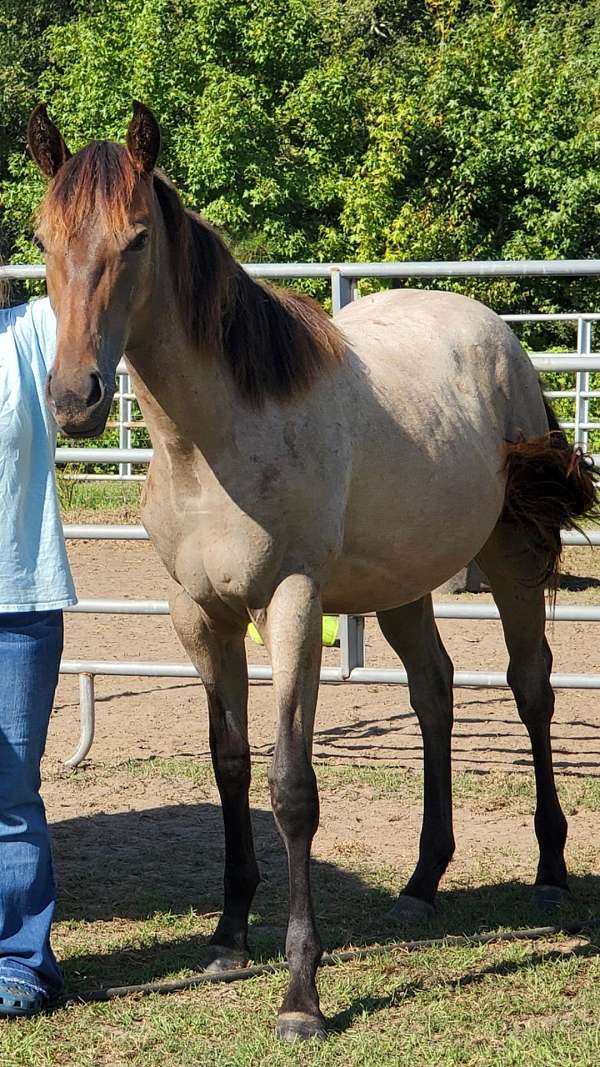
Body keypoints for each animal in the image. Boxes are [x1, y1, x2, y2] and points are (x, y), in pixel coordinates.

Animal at [30, 101, 593, 1041]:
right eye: (42, 237)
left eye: (137, 239)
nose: (75, 400)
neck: (212, 441)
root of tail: (496, 336)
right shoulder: (198, 616)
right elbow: (229, 762)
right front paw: (228, 936)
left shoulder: (290, 605)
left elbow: (292, 785)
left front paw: (301, 993)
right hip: (402, 584)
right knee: (435, 691)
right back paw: (422, 881)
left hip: (511, 557)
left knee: (531, 686)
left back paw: (550, 868)